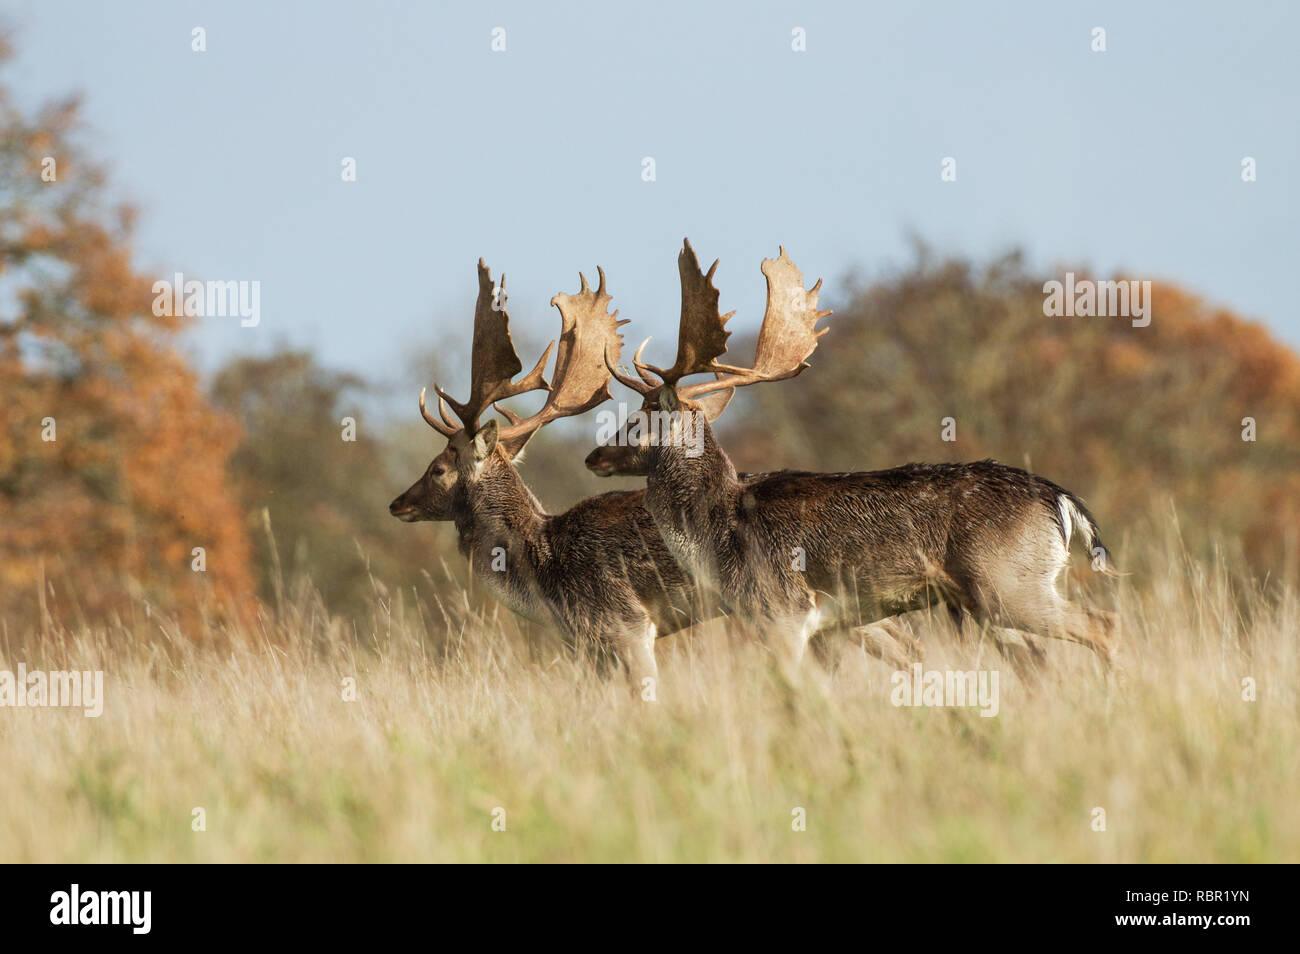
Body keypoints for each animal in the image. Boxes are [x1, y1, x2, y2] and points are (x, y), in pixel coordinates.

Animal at [587, 243, 1118, 675]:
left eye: (639, 419)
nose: (594, 455)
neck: (718, 529)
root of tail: (1060, 499)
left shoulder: (782, 610)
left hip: (1008, 583)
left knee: (1103, 624)